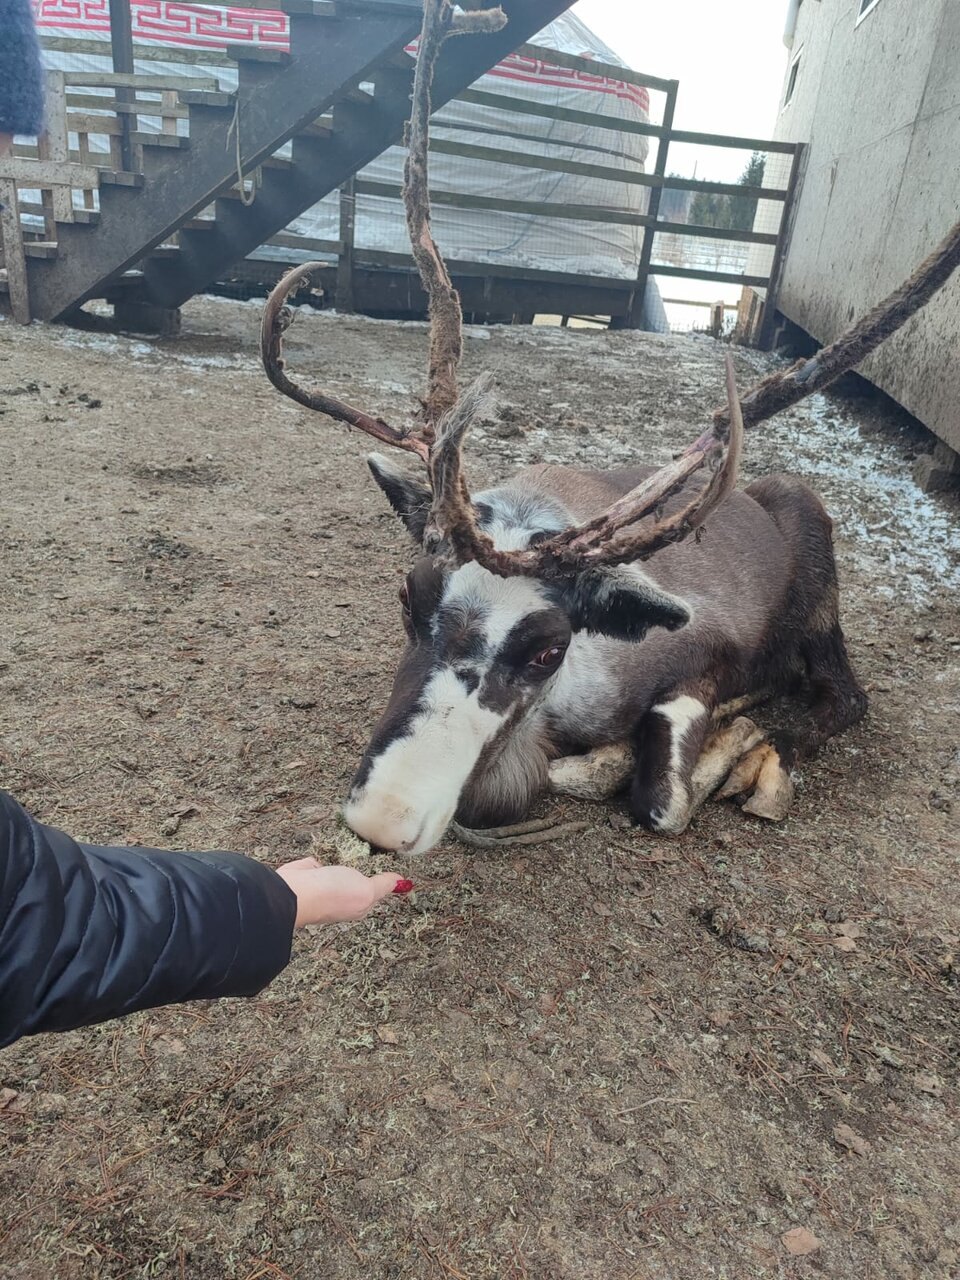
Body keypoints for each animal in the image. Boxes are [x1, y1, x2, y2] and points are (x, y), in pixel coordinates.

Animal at [261, 0, 960, 857]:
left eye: (548, 645)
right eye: (407, 593)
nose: (384, 820)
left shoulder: (702, 663)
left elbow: (657, 795)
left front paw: (690, 751)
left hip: (819, 571)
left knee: (843, 698)